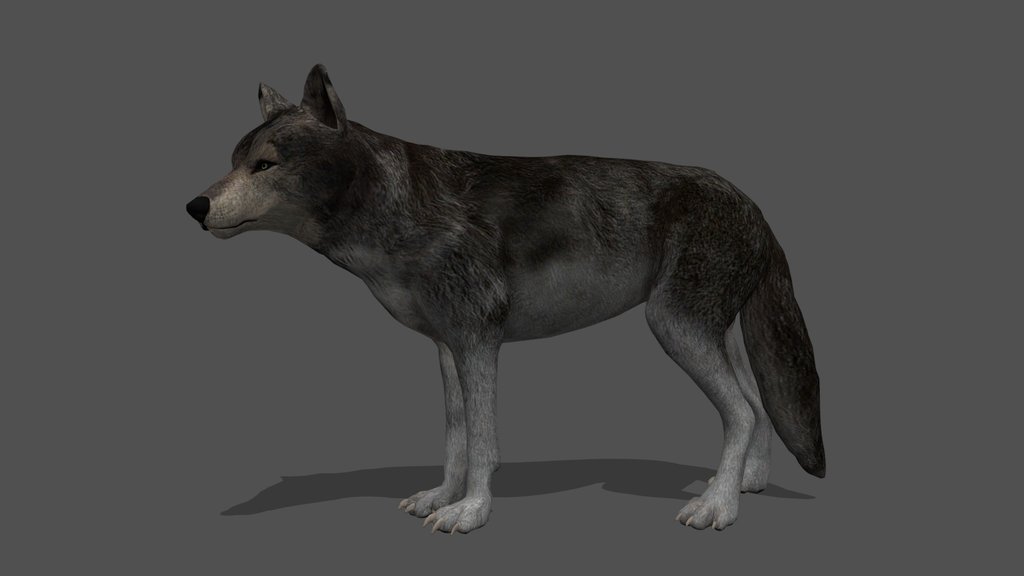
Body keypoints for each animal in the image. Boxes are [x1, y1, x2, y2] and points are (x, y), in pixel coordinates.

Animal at [186, 64, 824, 533]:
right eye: (234, 161)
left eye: (264, 164)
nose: (194, 206)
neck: (398, 205)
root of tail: (753, 204)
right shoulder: (447, 347)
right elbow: (454, 436)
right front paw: (442, 496)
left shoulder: (479, 342)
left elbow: (483, 439)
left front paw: (470, 512)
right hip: (704, 333)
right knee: (757, 402)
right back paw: (743, 483)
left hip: (674, 329)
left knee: (742, 410)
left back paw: (719, 507)